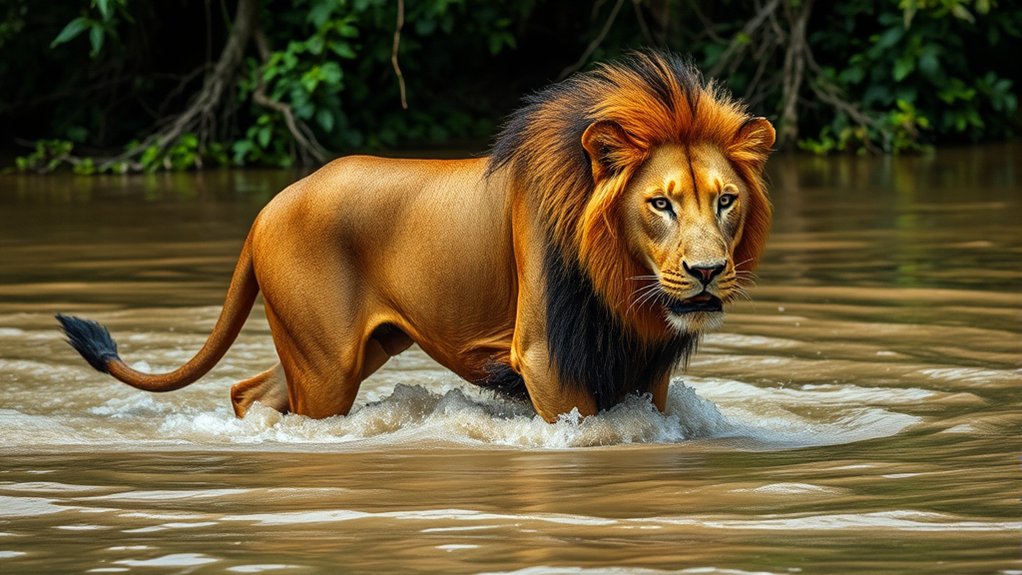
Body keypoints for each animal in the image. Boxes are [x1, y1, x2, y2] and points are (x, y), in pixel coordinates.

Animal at [57, 51, 774, 423]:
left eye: (726, 200)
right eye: (660, 204)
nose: (708, 272)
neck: (623, 286)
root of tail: (269, 206)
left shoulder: (641, 370)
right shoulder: (547, 357)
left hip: (353, 346)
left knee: (249, 391)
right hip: (327, 364)